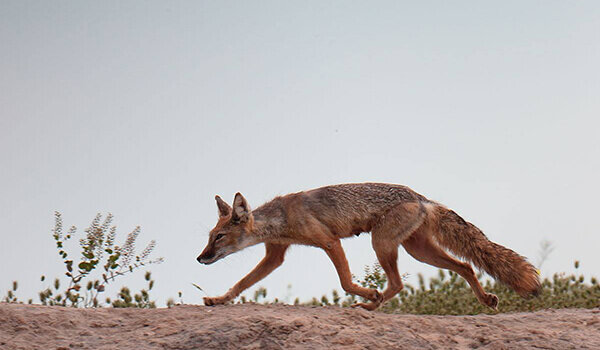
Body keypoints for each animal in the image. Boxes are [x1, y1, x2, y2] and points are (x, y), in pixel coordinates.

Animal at [198, 182, 544, 310]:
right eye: (210, 236)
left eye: (219, 237)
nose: (200, 257)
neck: (281, 219)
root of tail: (421, 197)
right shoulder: (274, 257)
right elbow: (241, 284)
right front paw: (218, 299)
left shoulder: (330, 242)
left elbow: (345, 281)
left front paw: (367, 294)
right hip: (417, 251)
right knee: (467, 266)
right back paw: (486, 299)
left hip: (384, 244)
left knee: (398, 284)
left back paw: (371, 304)